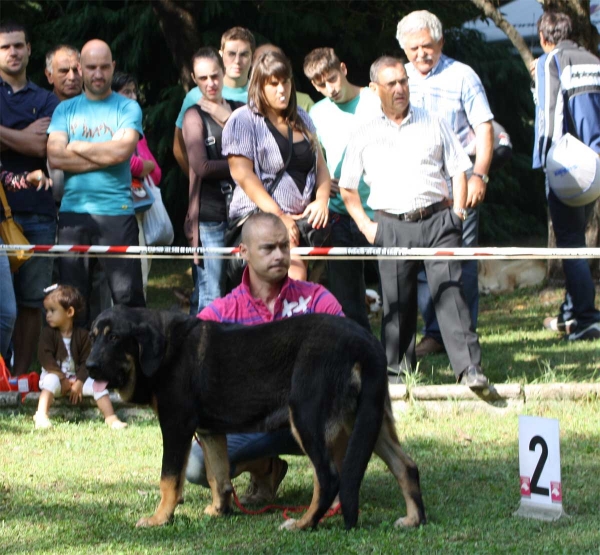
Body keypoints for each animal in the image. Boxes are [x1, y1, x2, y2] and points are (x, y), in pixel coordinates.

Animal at [85, 306, 426, 532]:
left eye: (114, 338)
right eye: (93, 336)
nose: (89, 366)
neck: (166, 348)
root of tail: (365, 342)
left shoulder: (176, 426)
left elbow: (169, 480)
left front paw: (159, 519)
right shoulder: (209, 431)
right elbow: (218, 477)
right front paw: (219, 510)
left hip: (308, 417)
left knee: (329, 477)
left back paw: (302, 524)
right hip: (368, 420)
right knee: (406, 466)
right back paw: (413, 519)